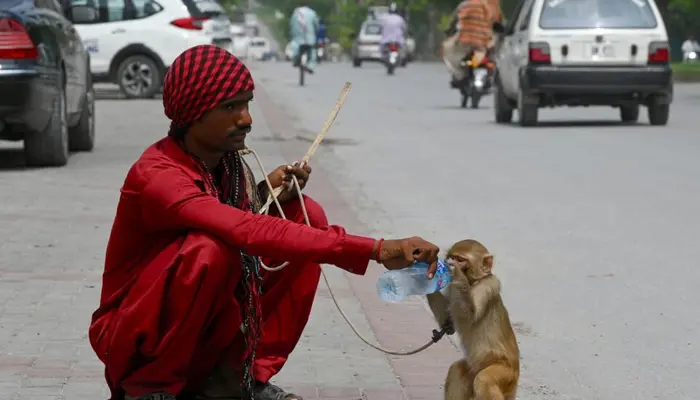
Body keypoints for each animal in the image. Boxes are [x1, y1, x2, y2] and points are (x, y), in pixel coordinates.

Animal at [424, 241, 516, 400]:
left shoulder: (488, 285)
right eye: (451, 256)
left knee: (483, 380)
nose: (449, 261)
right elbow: (449, 325)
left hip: (506, 373)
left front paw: (455, 273)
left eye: (460, 259)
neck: (472, 283)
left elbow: (470, 317)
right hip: (474, 370)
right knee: (457, 370)